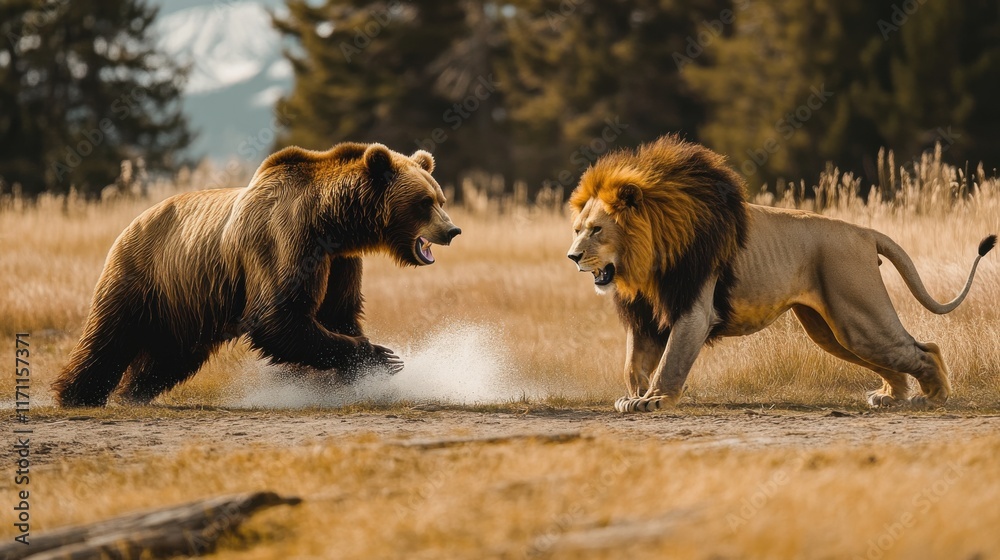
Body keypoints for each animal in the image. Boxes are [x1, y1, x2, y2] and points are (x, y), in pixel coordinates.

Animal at [53, 142, 461, 407]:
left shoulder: (340, 261)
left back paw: (132, 392)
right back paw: (76, 395)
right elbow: (277, 316)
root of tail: (134, 220)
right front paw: (381, 356)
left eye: (440, 198)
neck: (332, 222)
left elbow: (337, 311)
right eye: (424, 202)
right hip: (142, 273)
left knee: (170, 355)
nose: (452, 230)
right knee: (111, 335)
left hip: (185, 302)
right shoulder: (285, 239)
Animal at [567, 135, 996, 412]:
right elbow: (633, 362)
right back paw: (891, 396)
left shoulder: (692, 308)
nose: (573, 256)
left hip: (857, 316)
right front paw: (633, 395)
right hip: (831, 330)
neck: (647, 257)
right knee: (894, 357)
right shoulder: (646, 313)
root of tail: (863, 231)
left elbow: (671, 360)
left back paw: (933, 397)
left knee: (925, 348)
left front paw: (655, 399)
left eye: (598, 230)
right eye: (577, 229)